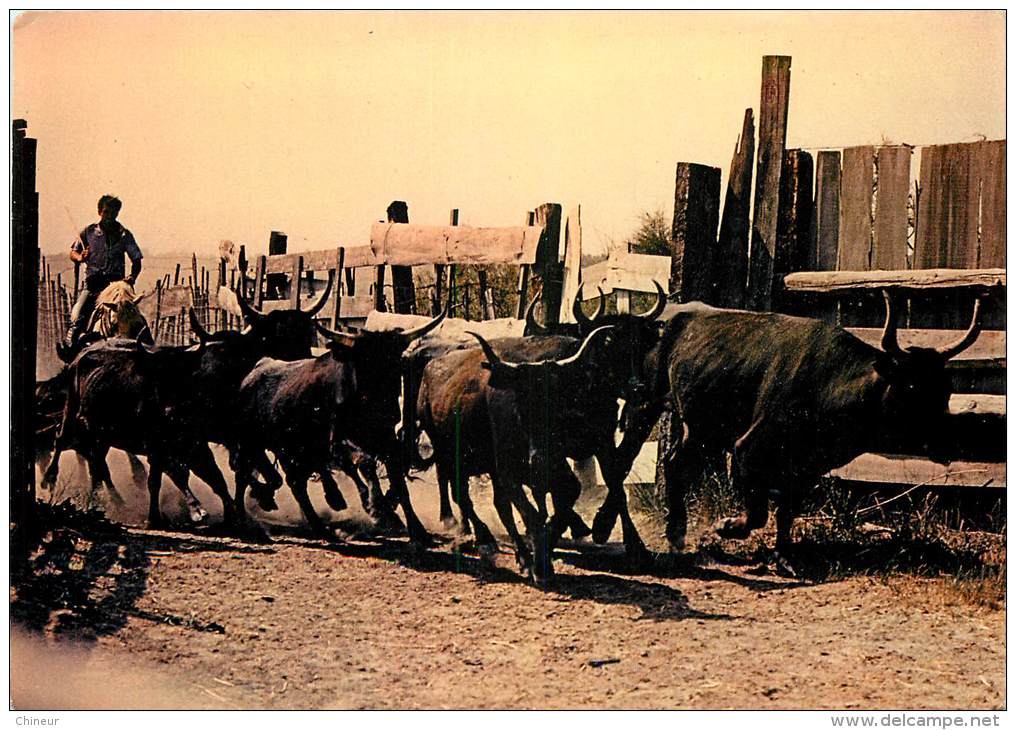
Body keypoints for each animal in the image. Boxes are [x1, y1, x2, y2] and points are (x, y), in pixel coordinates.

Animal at [597, 292, 979, 560]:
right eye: (912, 387)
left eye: (945, 389)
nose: (949, 442)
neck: (828, 383)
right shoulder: (748, 450)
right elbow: (758, 512)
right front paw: (727, 527)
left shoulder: (808, 465)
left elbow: (786, 509)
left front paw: (785, 554)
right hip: (643, 406)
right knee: (622, 461)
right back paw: (606, 527)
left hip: (701, 426)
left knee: (676, 464)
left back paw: (676, 532)